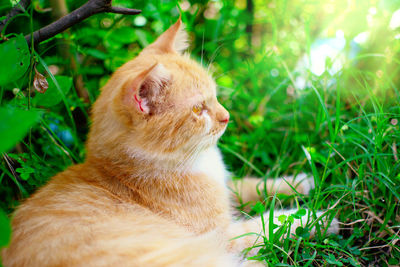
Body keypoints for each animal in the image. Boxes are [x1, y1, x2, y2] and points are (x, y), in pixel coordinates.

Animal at [1, 19, 338, 267]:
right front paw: (319, 216)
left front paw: (301, 182)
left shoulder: (226, 189)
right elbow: (272, 222)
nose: (226, 117)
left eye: (215, 95)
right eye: (198, 109)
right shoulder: (223, 234)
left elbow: (254, 185)